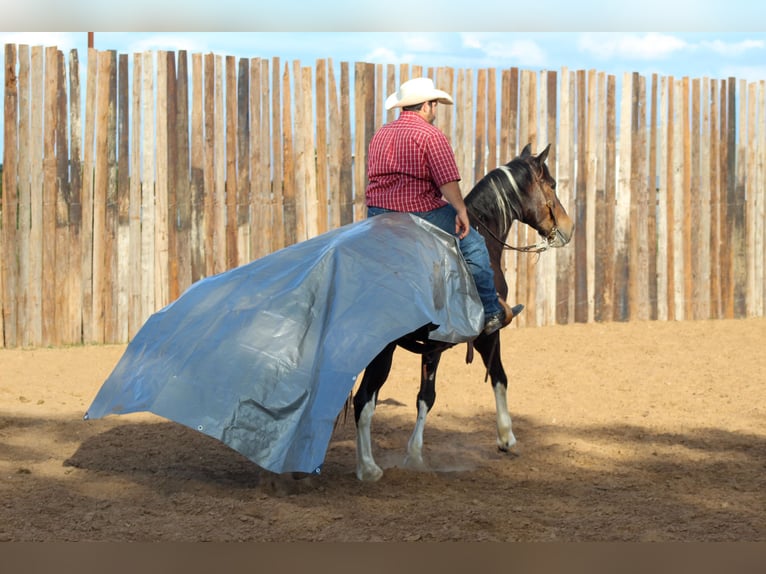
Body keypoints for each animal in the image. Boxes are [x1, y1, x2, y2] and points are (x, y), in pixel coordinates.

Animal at [354, 143, 576, 482]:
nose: (568, 227)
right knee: (363, 400)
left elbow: (425, 397)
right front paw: (506, 437)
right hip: (382, 350)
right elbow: (499, 376)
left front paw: (415, 455)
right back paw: (368, 467)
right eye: (550, 184)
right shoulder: (488, 333)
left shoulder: (433, 346)